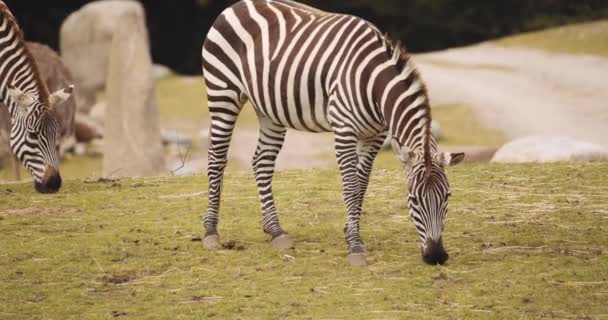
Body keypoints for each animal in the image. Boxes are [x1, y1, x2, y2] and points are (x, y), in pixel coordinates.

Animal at [202, 0, 464, 264]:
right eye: (413, 199)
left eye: (448, 196)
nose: (436, 256)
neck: (373, 83)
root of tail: (238, 4)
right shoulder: (344, 129)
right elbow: (350, 186)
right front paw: (355, 246)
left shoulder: (375, 136)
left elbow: (361, 184)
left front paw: (350, 232)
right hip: (223, 93)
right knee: (216, 158)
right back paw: (211, 233)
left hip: (269, 109)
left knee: (262, 162)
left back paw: (275, 230)